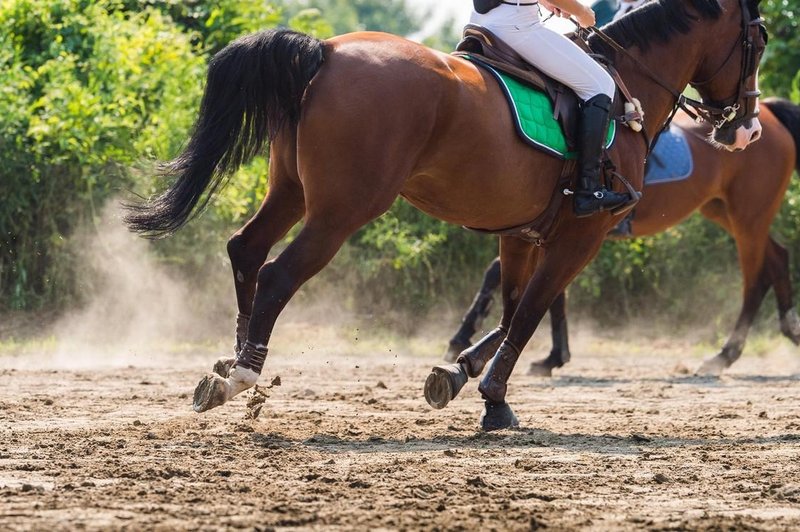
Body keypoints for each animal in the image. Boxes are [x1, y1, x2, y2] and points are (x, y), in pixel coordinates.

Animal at [128, 0, 764, 428]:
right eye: (756, 39)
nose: (747, 130)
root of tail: (327, 52)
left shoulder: (522, 233)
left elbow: (511, 310)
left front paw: (459, 374)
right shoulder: (582, 236)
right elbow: (530, 311)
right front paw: (495, 401)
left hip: (291, 190)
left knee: (246, 248)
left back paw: (230, 366)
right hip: (342, 209)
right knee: (278, 274)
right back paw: (243, 375)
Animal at [444, 96, 800, 378]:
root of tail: (767, 113)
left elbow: (503, 274)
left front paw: (460, 339)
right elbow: (549, 290)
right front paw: (554, 357)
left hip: (748, 218)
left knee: (755, 279)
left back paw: (725, 354)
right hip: (725, 212)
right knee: (777, 257)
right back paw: (788, 329)